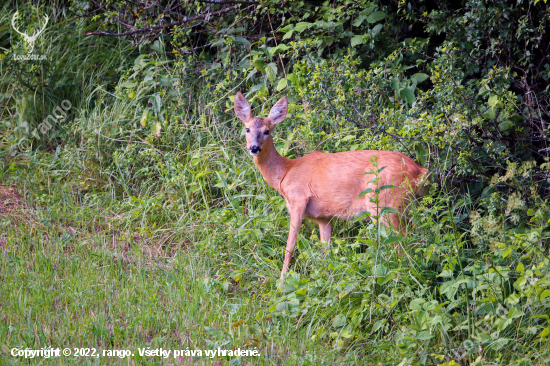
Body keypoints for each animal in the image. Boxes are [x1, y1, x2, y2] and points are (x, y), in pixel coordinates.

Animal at [234, 92, 432, 284]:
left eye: (267, 131)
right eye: (247, 129)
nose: (254, 148)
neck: (284, 174)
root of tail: (421, 171)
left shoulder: (298, 200)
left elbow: (289, 247)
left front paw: (281, 284)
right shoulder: (324, 217)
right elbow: (325, 252)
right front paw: (325, 278)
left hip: (386, 203)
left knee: (402, 242)